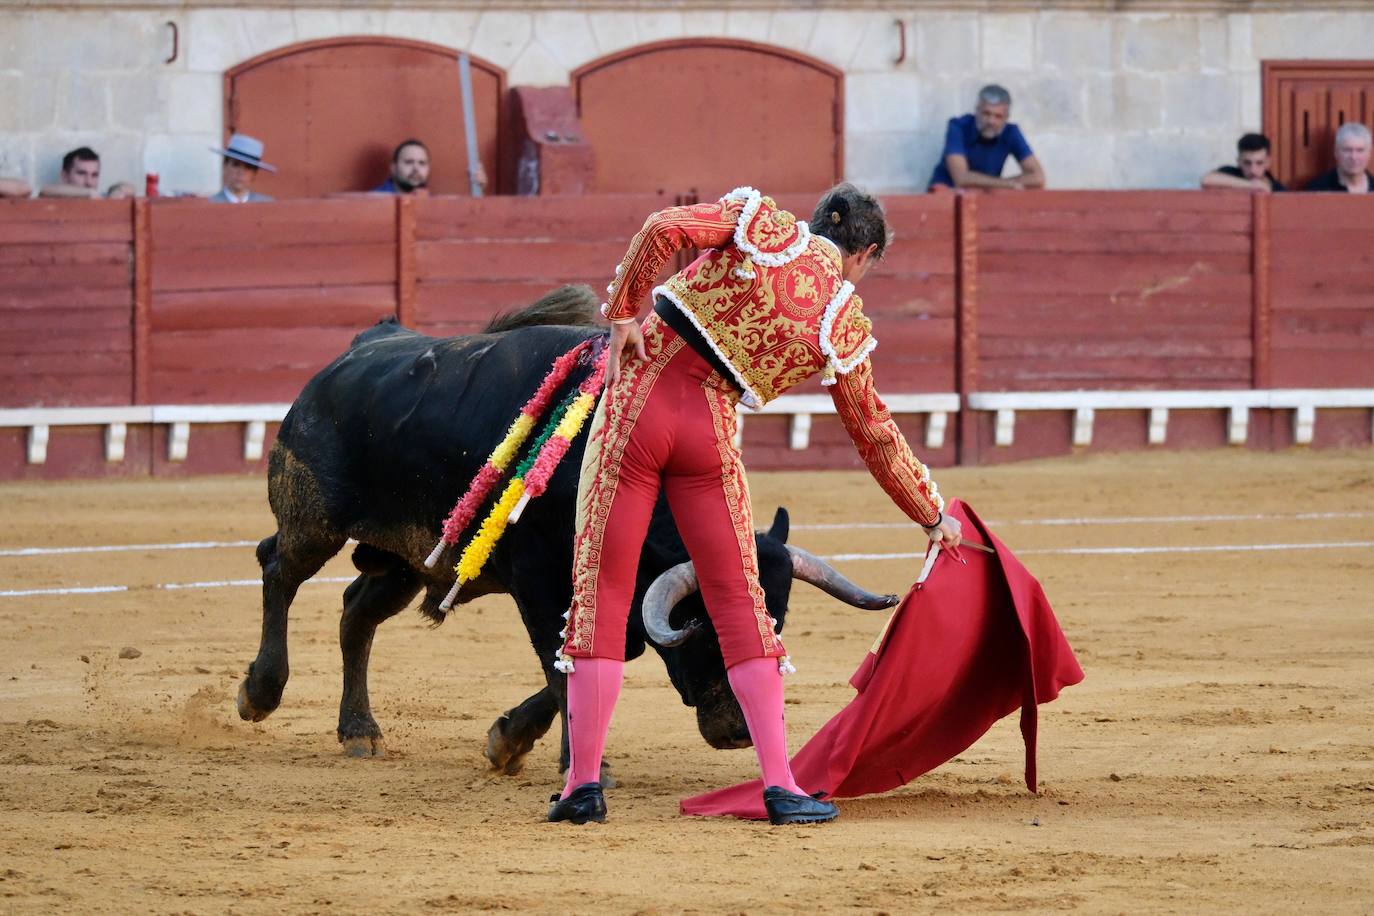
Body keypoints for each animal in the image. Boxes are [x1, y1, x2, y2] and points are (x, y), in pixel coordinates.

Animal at [240, 289, 895, 780]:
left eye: (776, 623)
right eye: (701, 622)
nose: (738, 731)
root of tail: (362, 345)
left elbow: (604, 655)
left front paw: (509, 739)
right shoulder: (538, 583)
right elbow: (563, 666)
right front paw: (578, 765)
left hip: (408, 558)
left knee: (356, 612)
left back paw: (360, 731)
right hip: (315, 522)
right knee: (277, 567)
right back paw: (260, 692)